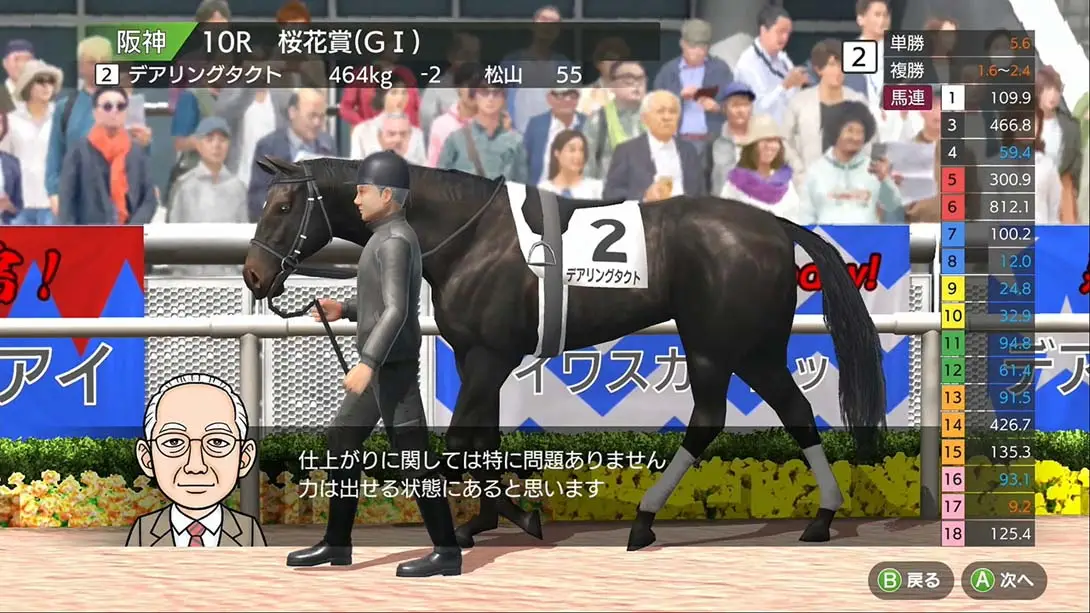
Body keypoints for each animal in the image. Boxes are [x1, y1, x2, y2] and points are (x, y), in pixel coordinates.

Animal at [242, 156, 887, 550]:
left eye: (283, 208)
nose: (252, 275)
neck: (469, 237)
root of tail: (778, 228)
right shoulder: (475, 354)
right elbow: (481, 439)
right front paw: (485, 519)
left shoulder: (490, 356)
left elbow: (461, 440)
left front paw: (517, 516)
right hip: (747, 346)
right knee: (786, 411)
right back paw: (818, 517)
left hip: (718, 342)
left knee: (719, 418)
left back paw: (649, 519)